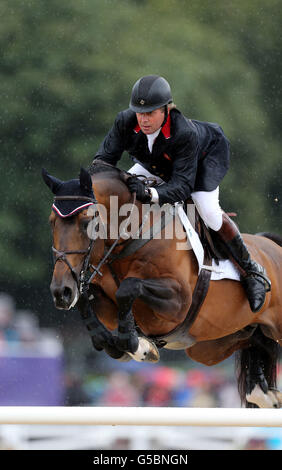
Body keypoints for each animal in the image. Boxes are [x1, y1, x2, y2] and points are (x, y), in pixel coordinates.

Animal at [42, 162, 282, 408]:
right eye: (52, 222)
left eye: (86, 222)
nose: (61, 292)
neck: (130, 239)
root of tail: (272, 244)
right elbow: (86, 301)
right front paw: (117, 343)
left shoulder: (178, 303)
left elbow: (128, 288)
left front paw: (135, 344)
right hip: (211, 345)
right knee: (257, 340)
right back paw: (264, 393)